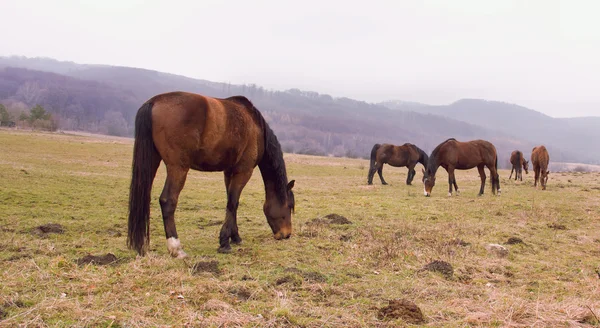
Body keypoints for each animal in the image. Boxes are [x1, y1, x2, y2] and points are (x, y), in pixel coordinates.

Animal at [127, 91, 296, 258]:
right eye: (289, 206)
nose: (286, 234)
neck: (256, 129)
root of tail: (154, 102)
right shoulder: (244, 171)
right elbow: (233, 203)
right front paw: (225, 243)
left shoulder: (229, 172)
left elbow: (232, 203)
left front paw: (235, 237)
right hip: (178, 168)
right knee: (168, 201)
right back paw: (176, 248)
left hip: (153, 160)